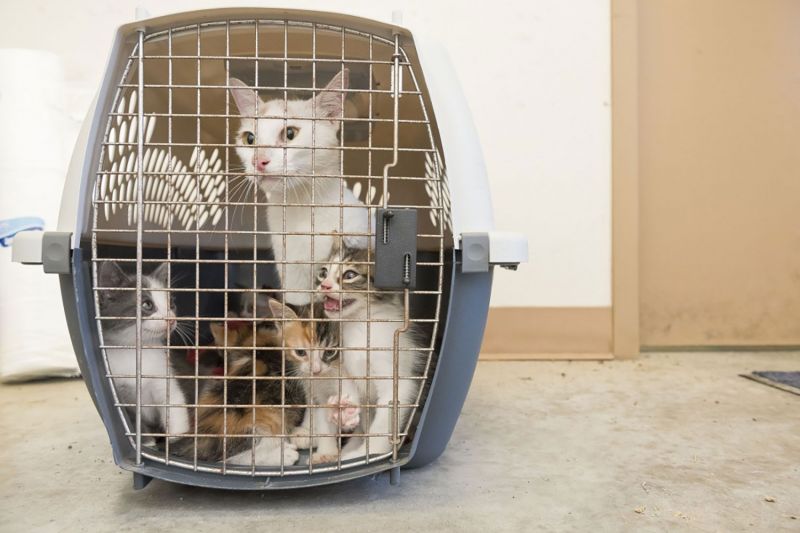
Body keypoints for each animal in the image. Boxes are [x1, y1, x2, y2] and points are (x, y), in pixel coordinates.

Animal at [97, 260, 189, 438]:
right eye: (147, 304)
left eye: (171, 303)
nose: (171, 319)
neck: (136, 352)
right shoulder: (119, 392)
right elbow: (132, 421)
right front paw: (147, 441)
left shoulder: (164, 378)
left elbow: (174, 406)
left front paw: (177, 439)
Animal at [312, 242, 424, 462]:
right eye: (323, 272)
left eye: (350, 275)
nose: (325, 285)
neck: (359, 326)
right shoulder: (346, 370)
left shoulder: (396, 378)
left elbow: (383, 422)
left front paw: (369, 453)